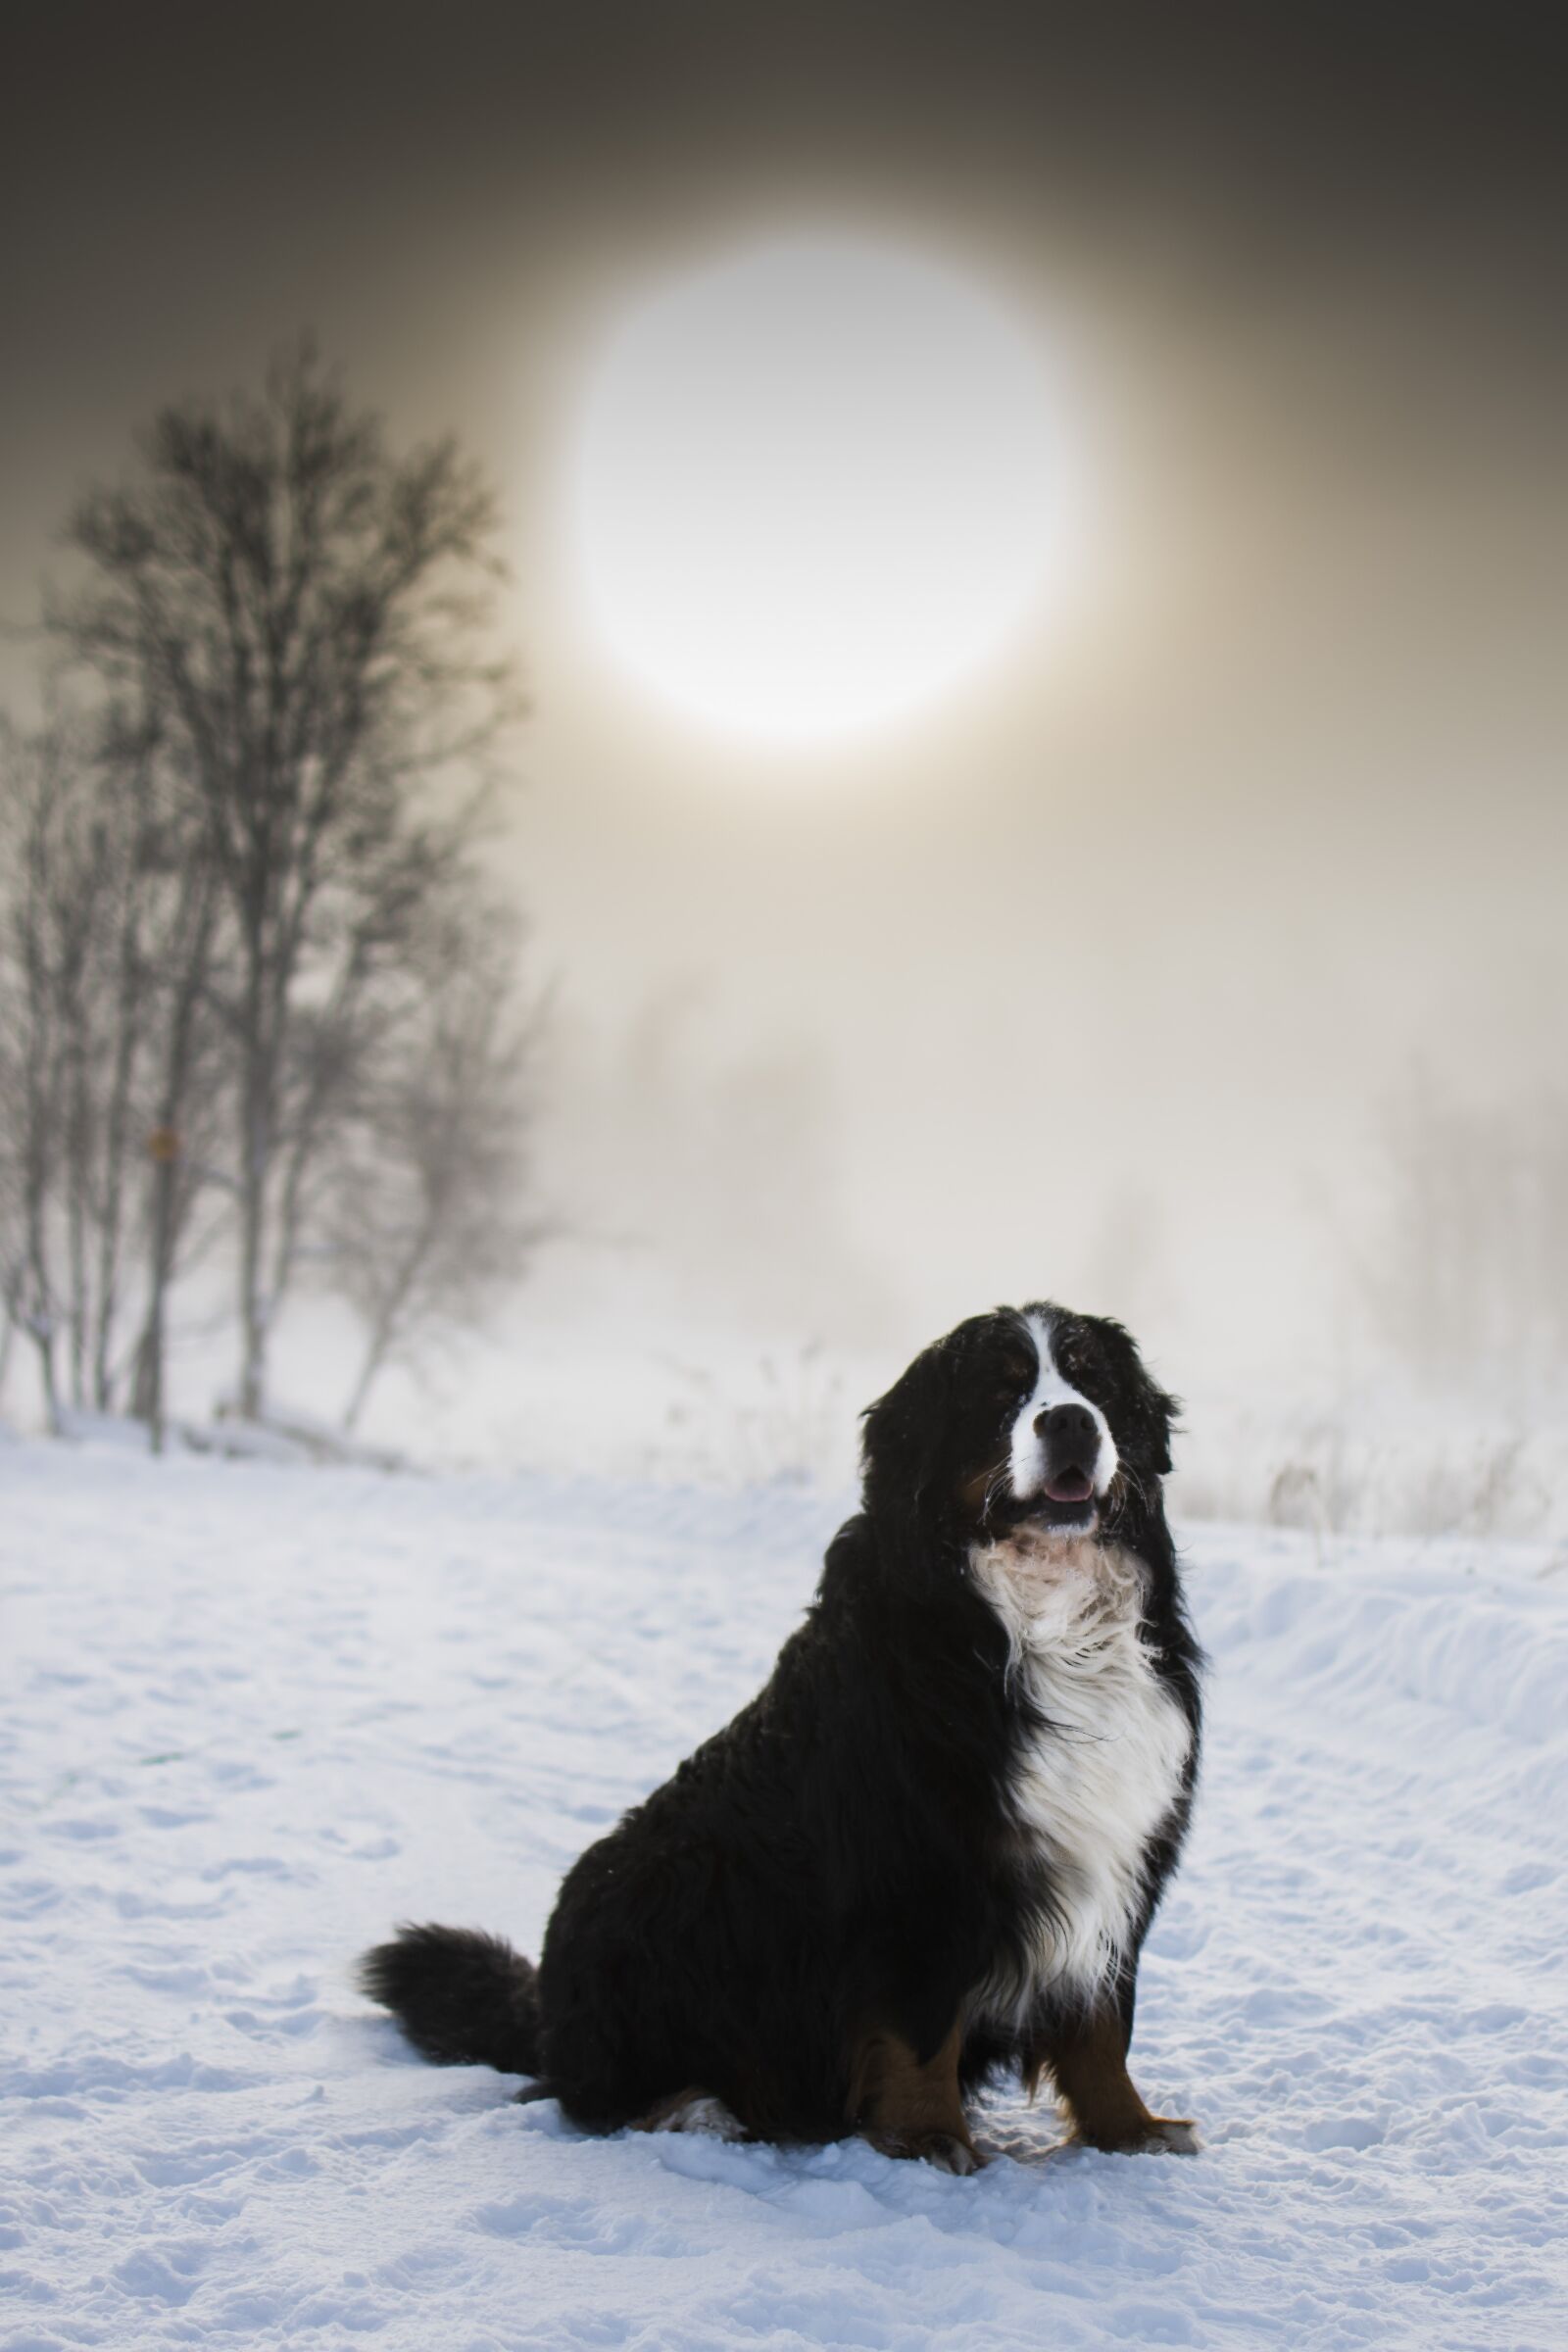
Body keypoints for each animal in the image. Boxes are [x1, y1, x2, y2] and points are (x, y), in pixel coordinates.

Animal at [362, 1307, 1212, 2164]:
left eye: (1092, 1381)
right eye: (1001, 1392)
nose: (1070, 1420)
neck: (1043, 1621)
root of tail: (544, 2008)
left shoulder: (1117, 1860)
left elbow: (1101, 2026)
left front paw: (1129, 2130)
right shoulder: (915, 1874)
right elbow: (920, 2032)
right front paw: (931, 2138)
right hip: (652, 1906)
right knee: (595, 2096)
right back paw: (699, 2109)